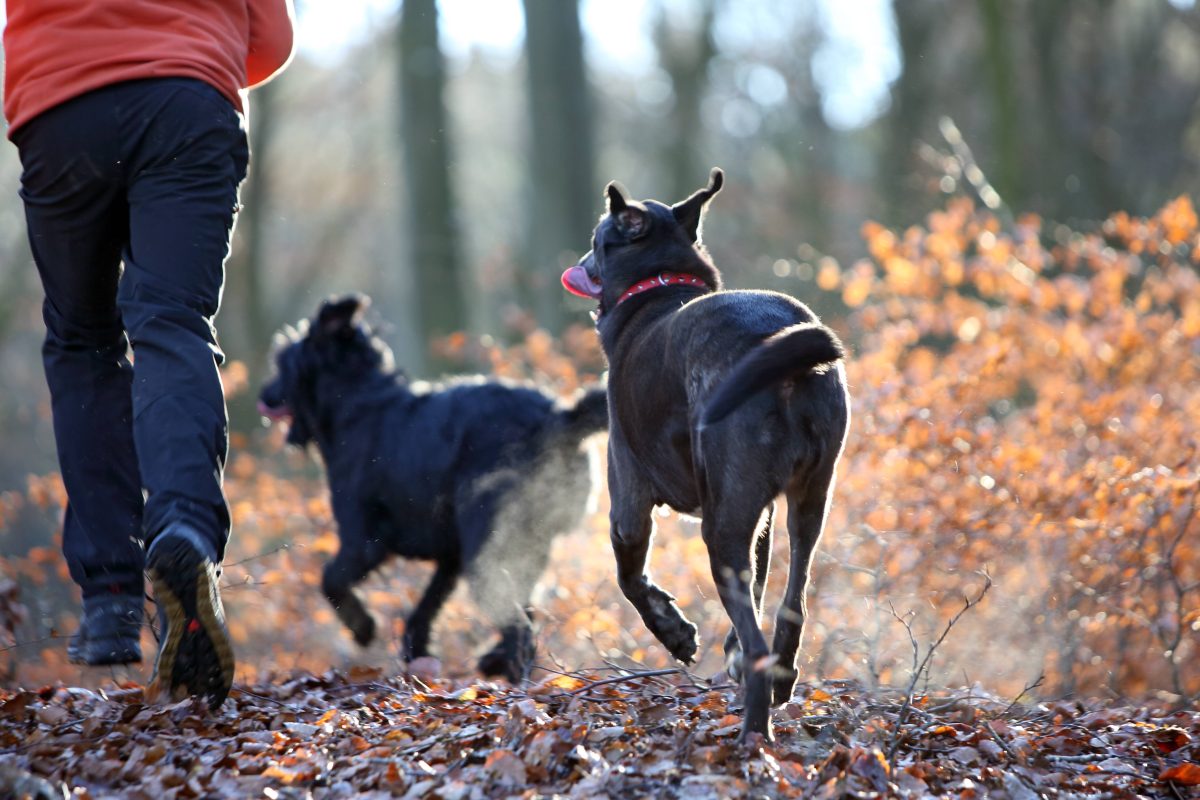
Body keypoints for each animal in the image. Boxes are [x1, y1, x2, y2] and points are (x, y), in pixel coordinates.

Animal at [258, 293, 604, 681]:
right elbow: (425, 608)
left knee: (520, 628)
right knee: (523, 614)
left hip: (490, 546)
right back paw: (495, 660)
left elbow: (330, 580)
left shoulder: (362, 542)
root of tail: (562, 421)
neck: (359, 404)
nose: (264, 395)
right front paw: (418, 652)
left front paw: (364, 628)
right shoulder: (450, 556)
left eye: (282, 361)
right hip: (518, 548)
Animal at [559, 169, 849, 743]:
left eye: (598, 238)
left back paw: (753, 733)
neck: (660, 285)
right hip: (808, 500)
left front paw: (674, 632)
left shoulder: (627, 500)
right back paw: (780, 680)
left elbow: (629, 577)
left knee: (758, 640)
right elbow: (758, 586)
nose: (579, 264)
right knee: (793, 601)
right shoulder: (762, 516)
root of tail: (783, 345)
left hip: (719, 526)